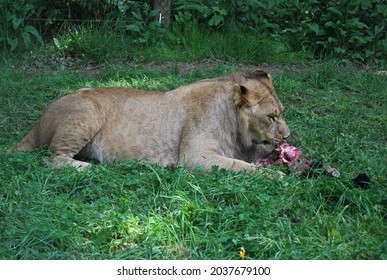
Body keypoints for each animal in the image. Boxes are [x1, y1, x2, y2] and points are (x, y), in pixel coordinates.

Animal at [9, 69, 292, 171]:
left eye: (282, 112)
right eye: (271, 116)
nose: (287, 136)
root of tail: (38, 122)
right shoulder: (194, 156)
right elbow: (240, 167)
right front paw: (275, 176)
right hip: (87, 111)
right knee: (50, 157)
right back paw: (87, 168)